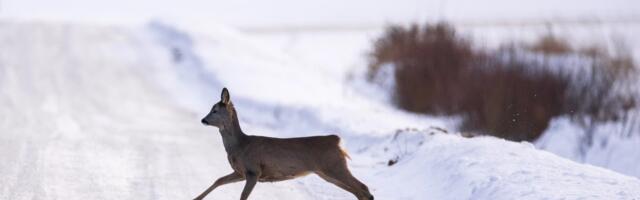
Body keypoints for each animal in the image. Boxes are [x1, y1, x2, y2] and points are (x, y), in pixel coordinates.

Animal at [196, 88, 376, 200]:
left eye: (215, 110)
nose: (203, 120)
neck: (240, 146)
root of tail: (336, 140)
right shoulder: (241, 172)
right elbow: (218, 180)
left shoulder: (254, 171)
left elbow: (242, 196)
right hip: (327, 172)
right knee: (360, 191)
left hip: (334, 166)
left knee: (363, 189)